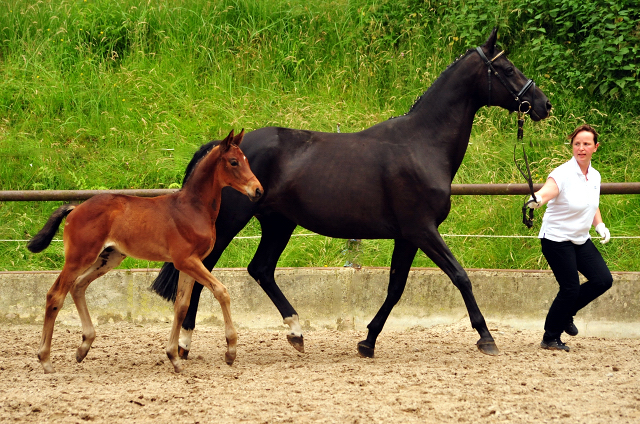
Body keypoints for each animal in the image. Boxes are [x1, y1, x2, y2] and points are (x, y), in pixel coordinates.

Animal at [26, 130, 262, 374]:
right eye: (233, 162)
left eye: (246, 160)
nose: (258, 190)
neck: (193, 208)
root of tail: (75, 208)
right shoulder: (186, 261)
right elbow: (221, 291)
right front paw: (230, 351)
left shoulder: (190, 263)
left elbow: (181, 306)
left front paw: (174, 357)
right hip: (78, 258)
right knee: (55, 295)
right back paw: (46, 360)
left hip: (108, 257)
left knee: (79, 286)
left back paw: (83, 347)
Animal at [150, 29, 552, 358]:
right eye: (509, 69)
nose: (543, 104)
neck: (422, 144)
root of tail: (222, 148)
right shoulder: (423, 230)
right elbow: (460, 276)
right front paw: (487, 338)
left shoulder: (408, 236)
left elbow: (395, 288)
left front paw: (368, 342)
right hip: (232, 222)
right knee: (203, 273)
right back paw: (185, 344)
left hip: (279, 223)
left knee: (260, 269)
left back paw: (296, 333)